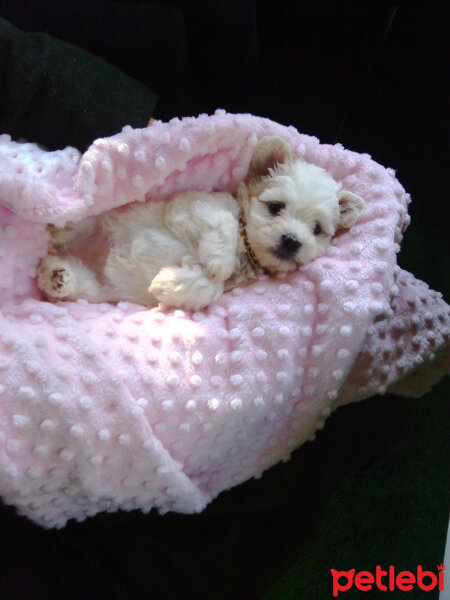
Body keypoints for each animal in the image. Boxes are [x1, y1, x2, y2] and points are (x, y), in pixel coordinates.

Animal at [37, 136, 366, 310]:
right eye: (275, 208)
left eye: (317, 229)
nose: (291, 240)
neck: (245, 251)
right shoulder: (192, 206)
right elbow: (224, 223)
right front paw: (217, 262)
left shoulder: (225, 288)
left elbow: (211, 290)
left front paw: (166, 283)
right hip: (93, 220)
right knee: (75, 225)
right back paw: (56, 228)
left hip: (97, 290)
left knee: (77, 282)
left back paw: (56, 275)